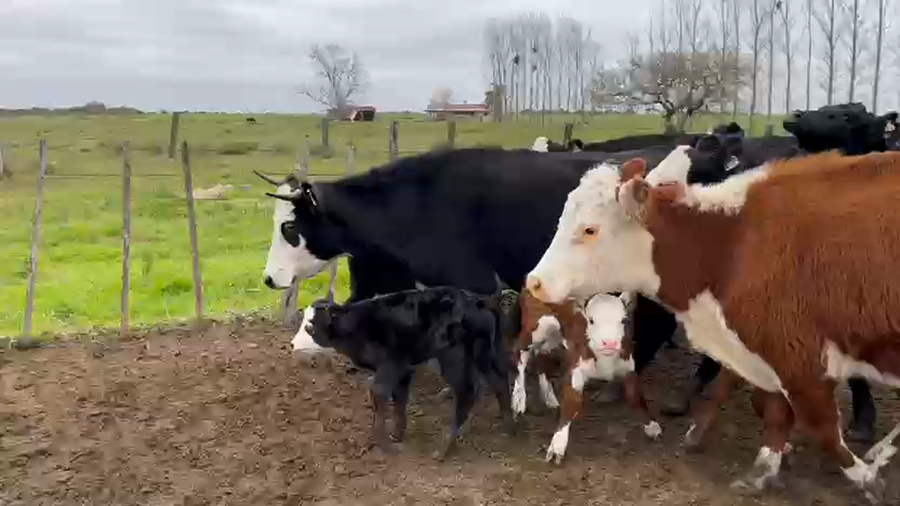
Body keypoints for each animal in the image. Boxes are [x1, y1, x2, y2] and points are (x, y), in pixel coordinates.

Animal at [291, 287, 515, 460]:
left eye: (310, 327)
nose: (292, 344)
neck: (358, 327)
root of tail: (479, 300)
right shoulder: (404, 369)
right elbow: (399, 401)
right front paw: (397, 435)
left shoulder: (391, 366)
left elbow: (380, 397)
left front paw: (385, 446)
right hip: (484, 354)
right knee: (498, 383)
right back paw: (507, 428)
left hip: (454, 358)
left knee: (467, 392)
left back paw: (444, 448)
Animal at [512, 289, 662, 463]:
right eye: (591, 320)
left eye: (623, 320)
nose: (609, 343)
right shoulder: (577, 368)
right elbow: (572, 402)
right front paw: (557, 446)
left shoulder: (627, 366)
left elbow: (635, 395)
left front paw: (652, 426)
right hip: (537, 325)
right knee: (520, 351)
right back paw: (518, 398)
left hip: (553, 336)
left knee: (543, 359)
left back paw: (550, 398)